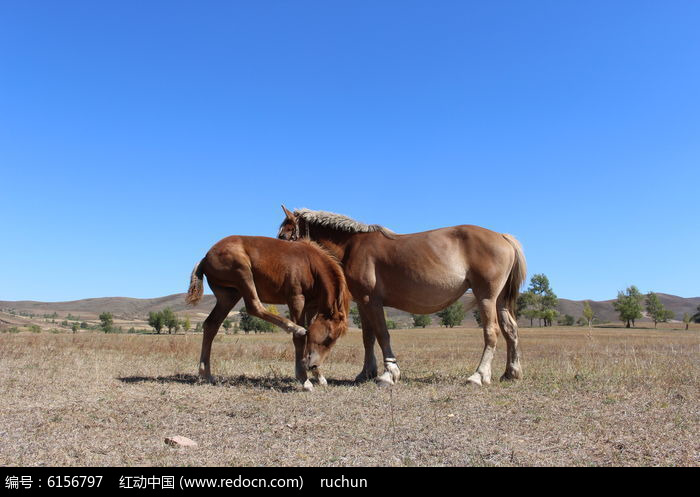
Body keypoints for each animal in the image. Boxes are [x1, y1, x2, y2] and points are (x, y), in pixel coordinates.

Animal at [185, 234, 350, 390]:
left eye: (334, 340)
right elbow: (301, 339)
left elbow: (310, 333)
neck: (310, 265)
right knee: (253, 306)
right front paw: (304, 380)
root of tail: (206, 258)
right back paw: (294, 327)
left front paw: (319, 377)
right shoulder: (296, 299)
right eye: (329, 338)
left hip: (229, 295)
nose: (313, 366)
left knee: (211, 325)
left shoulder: (312, 307)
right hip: (242, 272)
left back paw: (206, 374)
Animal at [278, 204, 524, 384]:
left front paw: (389, 373)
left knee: (492, 333)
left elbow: (382, 335)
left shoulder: (372, 301)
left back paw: (479, 376)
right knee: (510, 330)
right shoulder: (363, 304)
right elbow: (368, 338)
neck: (351, 246)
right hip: (500, 300)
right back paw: (510, 372)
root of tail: (503, 237)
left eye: (283, 235)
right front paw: (366, 373)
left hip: (486, 297)